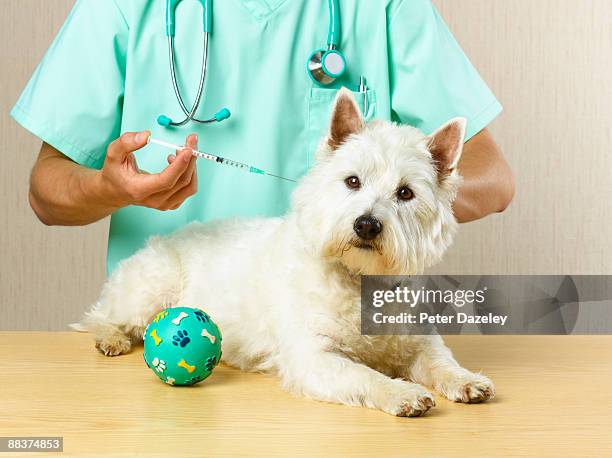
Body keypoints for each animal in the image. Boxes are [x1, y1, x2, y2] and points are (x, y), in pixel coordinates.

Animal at [77, 88, 498, 416]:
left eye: (406, 193)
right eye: (352, 181)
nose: (366, 225)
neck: (359, 276)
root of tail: (163, 239)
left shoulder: (418, 341)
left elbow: (441, 361)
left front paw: (467, 380)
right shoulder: (315, 358)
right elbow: (365, 374)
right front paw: (403, 392)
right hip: (152, 288)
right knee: (100, 315)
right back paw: (111, 339)